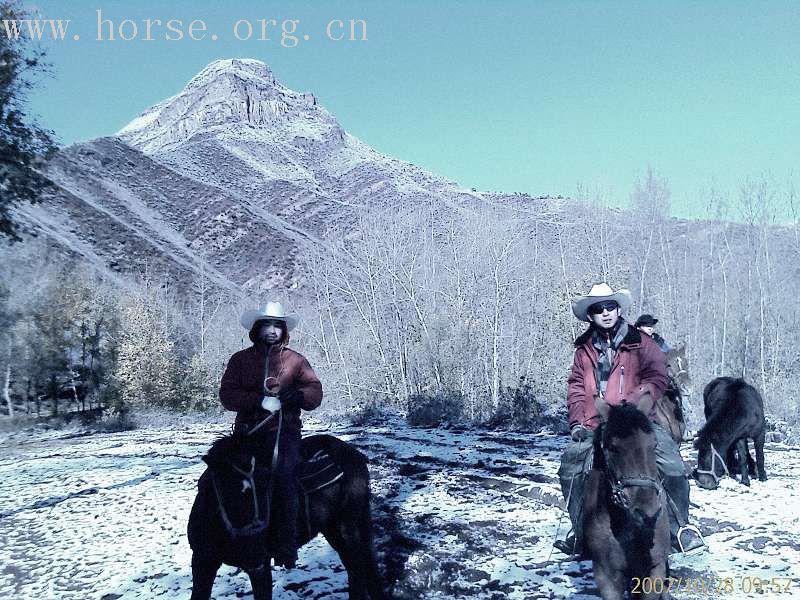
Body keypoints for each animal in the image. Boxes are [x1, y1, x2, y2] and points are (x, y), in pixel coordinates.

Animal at [189, 432, 386, 600]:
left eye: (266, 481)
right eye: (224, 486)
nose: (252, 554)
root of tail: (354, 454)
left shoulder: (261, 570)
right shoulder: (202, 563)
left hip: (347, 528)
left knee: (358, 569)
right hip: (335, 530)